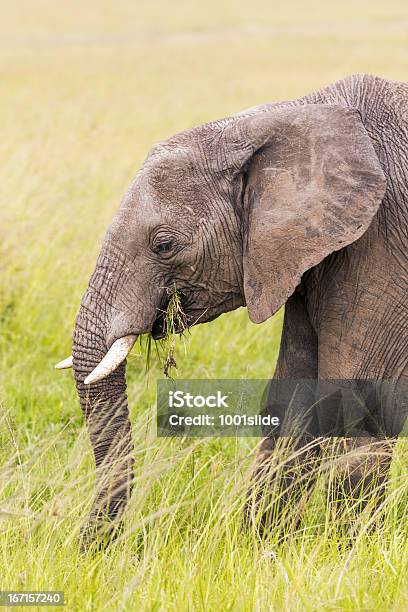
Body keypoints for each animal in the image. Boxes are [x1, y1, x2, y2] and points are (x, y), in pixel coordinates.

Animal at [57, 74, 408, 548]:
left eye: (163, 244)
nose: (90, 552)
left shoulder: (383, 246)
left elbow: (353, 406)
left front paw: (344, 555)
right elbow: (292, 398)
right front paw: (261, 549)